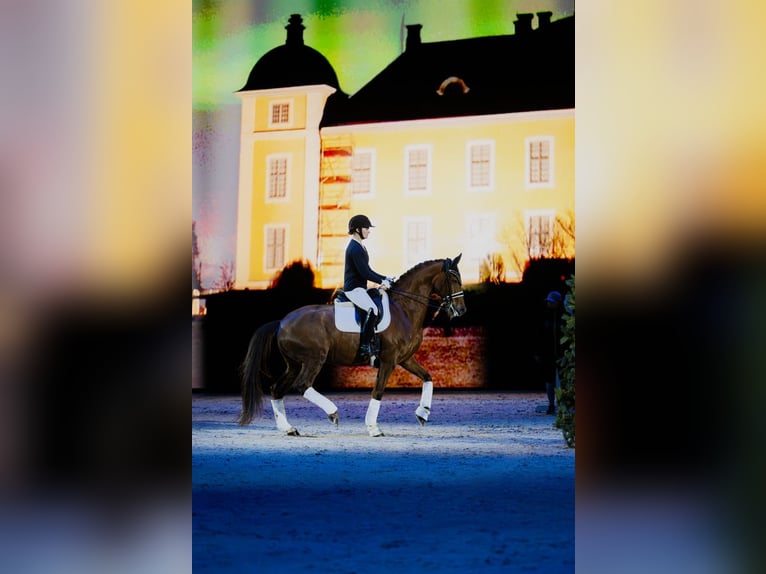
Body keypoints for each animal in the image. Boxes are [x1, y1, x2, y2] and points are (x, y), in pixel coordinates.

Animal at [238, 254, 468, 438]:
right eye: (453, 278)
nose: (461, 310)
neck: (404, 309)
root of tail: (281, 322)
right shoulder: (389, 361)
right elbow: (378, 391)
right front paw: (373, 428)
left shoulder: (404, 359)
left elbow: (428, 377)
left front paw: (423, 413)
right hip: (313, 359)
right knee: (303, 384)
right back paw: (332, 412)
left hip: (294, 364)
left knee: (277, 389)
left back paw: (289, 428)